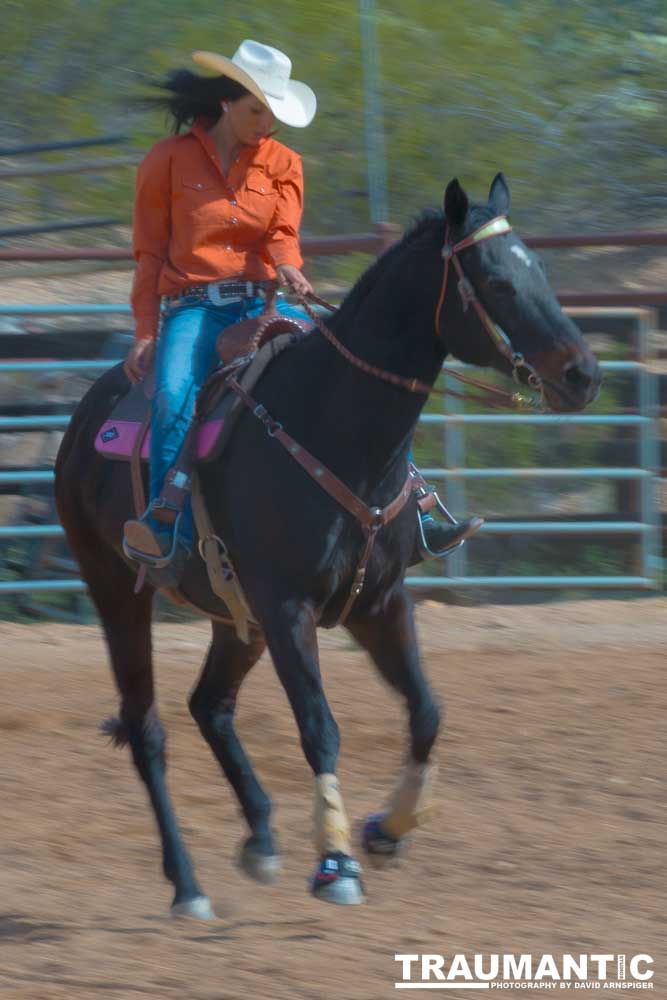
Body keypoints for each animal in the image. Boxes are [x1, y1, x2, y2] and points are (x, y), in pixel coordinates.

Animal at [56, 176, 600, 916]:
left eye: (539, 268)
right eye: (494, 281)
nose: (582, 375)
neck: (335, 426)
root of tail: (85, 417)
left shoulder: (380, 603)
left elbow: (427, 712)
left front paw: (387, 829)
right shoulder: (289, 609)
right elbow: (320, 727)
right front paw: (336, 860)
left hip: (238, 617)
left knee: (209, 706)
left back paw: (260, 838)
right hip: (118, 591)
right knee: (148, 729)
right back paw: (188, 885)